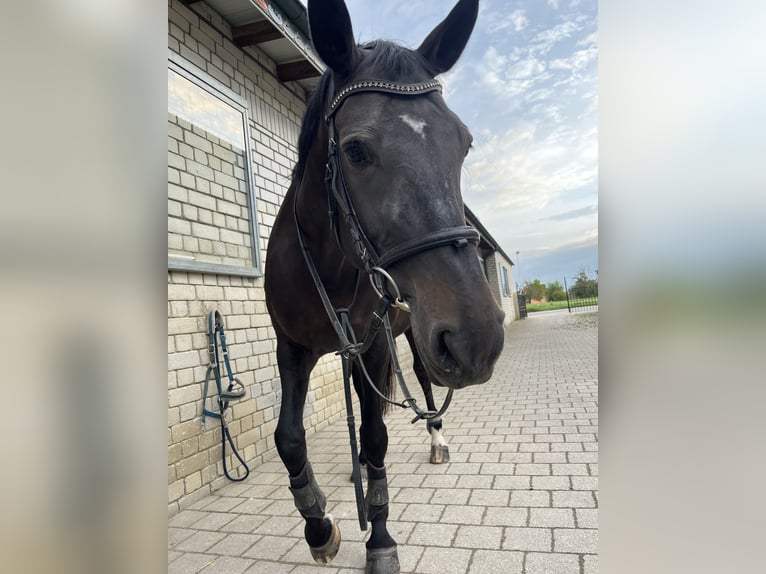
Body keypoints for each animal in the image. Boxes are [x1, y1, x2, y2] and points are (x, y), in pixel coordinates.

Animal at [268, 2, 508, 572]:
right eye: (355, 151)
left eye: (464, 144)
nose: (479, 338)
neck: (329, 265)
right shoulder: (293, 348)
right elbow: (289, 438)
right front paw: (319, 526)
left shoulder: (376, 342)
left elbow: (376, 436)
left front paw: (379, 537)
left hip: (413, 339)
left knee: (419, 383)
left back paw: (436, 440)